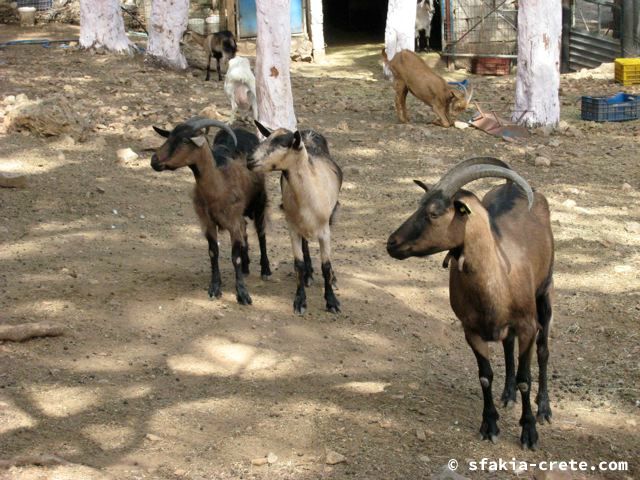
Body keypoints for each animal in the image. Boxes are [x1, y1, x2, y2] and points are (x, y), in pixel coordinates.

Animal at [151, 117, 272, 304]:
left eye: (185, 140)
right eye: (169, 136)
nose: (154, 160)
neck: (218, 184)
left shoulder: (233, 223)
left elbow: (235, 257)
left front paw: (243, 294)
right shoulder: (207, 222)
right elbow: (213, 253)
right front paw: (215, 288)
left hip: (259, 201)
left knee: (261, 233)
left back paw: (265, 269)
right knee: (245, 230)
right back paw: (246, 266)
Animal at [249, 120, 342, 316]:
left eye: (283, 144)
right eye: (266, 138)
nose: (250, 160)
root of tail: (309, 133)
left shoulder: (325, 231)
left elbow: (326, 265)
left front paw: (332, 301)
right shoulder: (292, 228)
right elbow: (298, 263)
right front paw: (300, 301)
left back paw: (331, 278)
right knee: (305, 244)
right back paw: (308, 274)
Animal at [384, 158, 556, 450]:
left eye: (434, 213)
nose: (392, 243)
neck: (497, 276)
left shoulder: (527, 326)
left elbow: (526, 378)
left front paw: (529, 431)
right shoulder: (471, 330)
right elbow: (485, 375)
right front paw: (489, 425)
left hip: (545, 293)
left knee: (543, 350)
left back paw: (544, 408)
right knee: (507, 346)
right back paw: (507, 394)